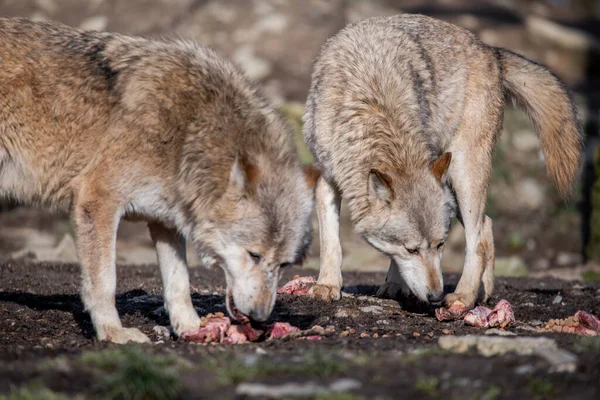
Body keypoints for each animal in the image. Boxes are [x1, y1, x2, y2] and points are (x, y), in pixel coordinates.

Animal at [304, 14, 580, 310]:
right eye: (412, 249)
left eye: (441, 245)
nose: (435, 296)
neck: (372, 105)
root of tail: (491, 51)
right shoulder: (328, 179)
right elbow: (332, 243)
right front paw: (328, 284)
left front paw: (396, 285)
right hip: (452, 186)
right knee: (488, 224)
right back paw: (484, 292)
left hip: (463, 174)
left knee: (478, 240)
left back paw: (464, 296)